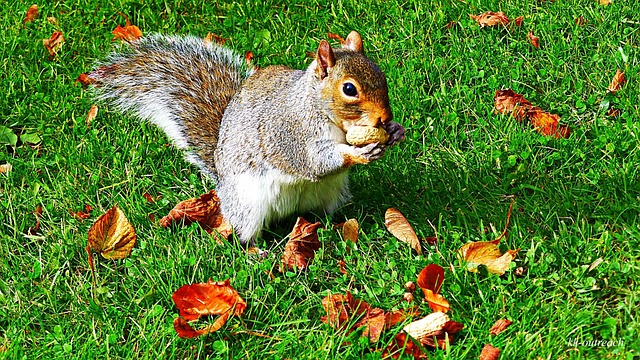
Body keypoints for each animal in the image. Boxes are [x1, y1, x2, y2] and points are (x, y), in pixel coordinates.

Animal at [86, 31, 404, 248]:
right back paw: (256, 252)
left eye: (381, 75)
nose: (384, 117)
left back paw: (337, 227)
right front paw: (358, 152)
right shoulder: (290, 133)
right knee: (245, 233)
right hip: (248, 204)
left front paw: (395, 131)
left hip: (330, 194)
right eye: (349, 89)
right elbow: (315, 161)